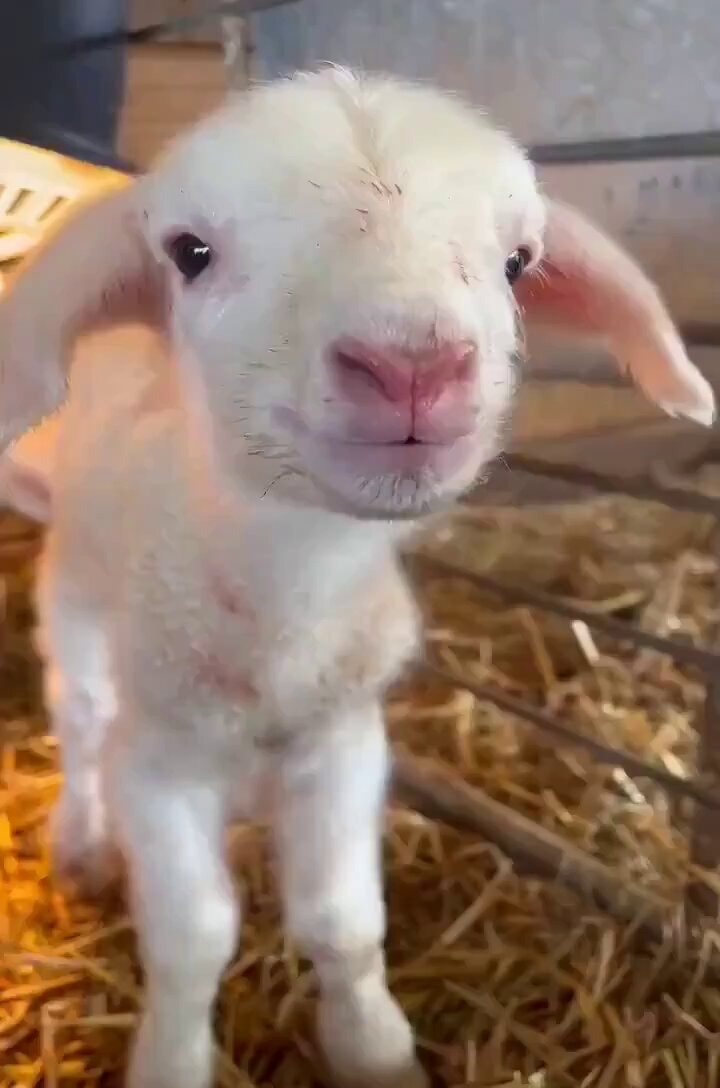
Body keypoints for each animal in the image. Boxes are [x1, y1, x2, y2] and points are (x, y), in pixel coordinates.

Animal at [0, 66, 714, 1088]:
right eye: (190, 252)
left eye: (517, 262)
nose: (412, 365)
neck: (285, 607)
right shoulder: (161, 761)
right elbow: (192, 940)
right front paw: (173, 1057)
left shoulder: (345, 739)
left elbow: (341, 924)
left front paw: (373, 1047)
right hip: (80, 597)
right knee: (83, 715)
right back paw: (82, 839)